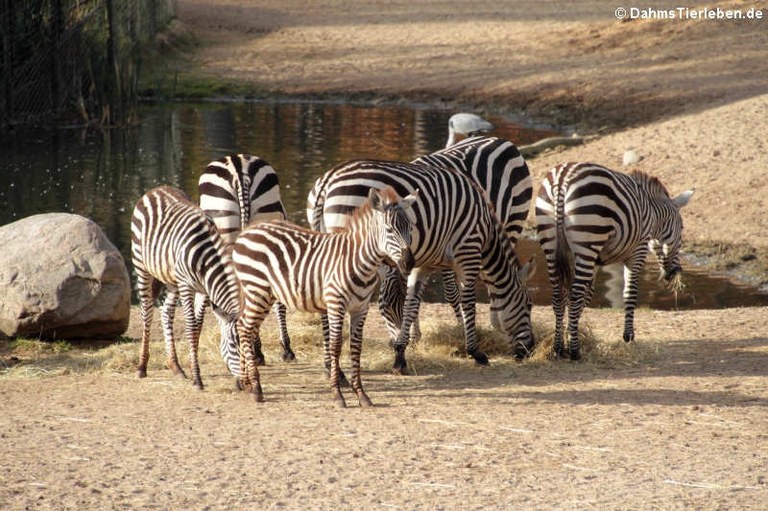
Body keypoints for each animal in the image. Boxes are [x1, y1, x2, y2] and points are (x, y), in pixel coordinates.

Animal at [131, 187, 260, 400]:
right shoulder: (187, 286)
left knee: (166, 312)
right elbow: (191, 326)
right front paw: (197, 379)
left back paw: (175, 366)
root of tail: (157, 189)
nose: (248, 385)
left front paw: (192, 371)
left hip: (171, 278)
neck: (206, 259)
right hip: (142, 265)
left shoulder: (204, 291)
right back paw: (141, 367)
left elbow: (198, 326)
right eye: (234, 345)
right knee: (147, 312)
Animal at [231, 188, 416, 408]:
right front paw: (338, 394)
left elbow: (356, 348)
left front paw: (361, 395)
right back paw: (257, 388)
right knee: (244, 328)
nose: (409, 263)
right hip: (256, 290)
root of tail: (246, 232)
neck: (360, 260)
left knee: (244, 327)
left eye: (410, 228)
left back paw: (246, 382)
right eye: (389, 230)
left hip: (262, 294)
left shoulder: (360, 307)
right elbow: (335, 346)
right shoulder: (336, 304)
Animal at [306, 162, 536, 374]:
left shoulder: (423, 264)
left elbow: (411, 303)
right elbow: (468, 303)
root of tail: (328, 180)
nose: (531, 350)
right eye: (528, 305)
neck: (486, 231)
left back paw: (330, 365)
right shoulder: (468, 252)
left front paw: (400, 354)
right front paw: (475, 352)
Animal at [536, 163, 696, 360]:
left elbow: (586, 295)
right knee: (575, 295)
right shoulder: (637, 252)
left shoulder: (595, 260)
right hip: (588, 239)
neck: (652, 213)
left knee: (559, 296)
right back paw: (575, 351)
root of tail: (562, 180)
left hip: (551, 243)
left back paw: (557, 349)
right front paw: (629, 336)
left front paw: (570, 336)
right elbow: (629, 293)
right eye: (682, 228)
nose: (674, 272)